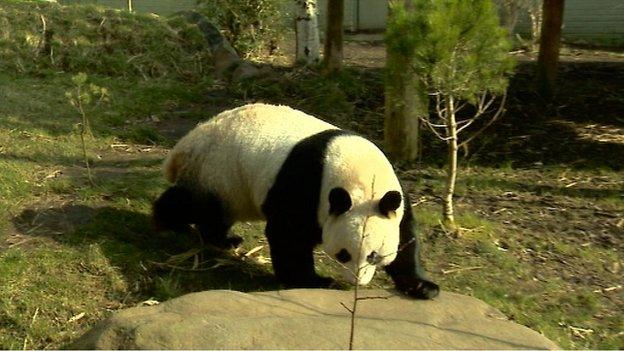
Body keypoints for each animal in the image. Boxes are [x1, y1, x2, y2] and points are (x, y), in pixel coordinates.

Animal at [153, 104, 438, 300]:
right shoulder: (307, 184)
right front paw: (316, 281)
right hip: (218, 170)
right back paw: (170, 222)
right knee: (196, 204)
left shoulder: (394, 197)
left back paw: (225, 240)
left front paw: (423, 286)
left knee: (215, 214)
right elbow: (288, 233)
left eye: (374, 255)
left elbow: (406, 237)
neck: (361, 174)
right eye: (344, 253)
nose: (355, 282)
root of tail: (187, 143)